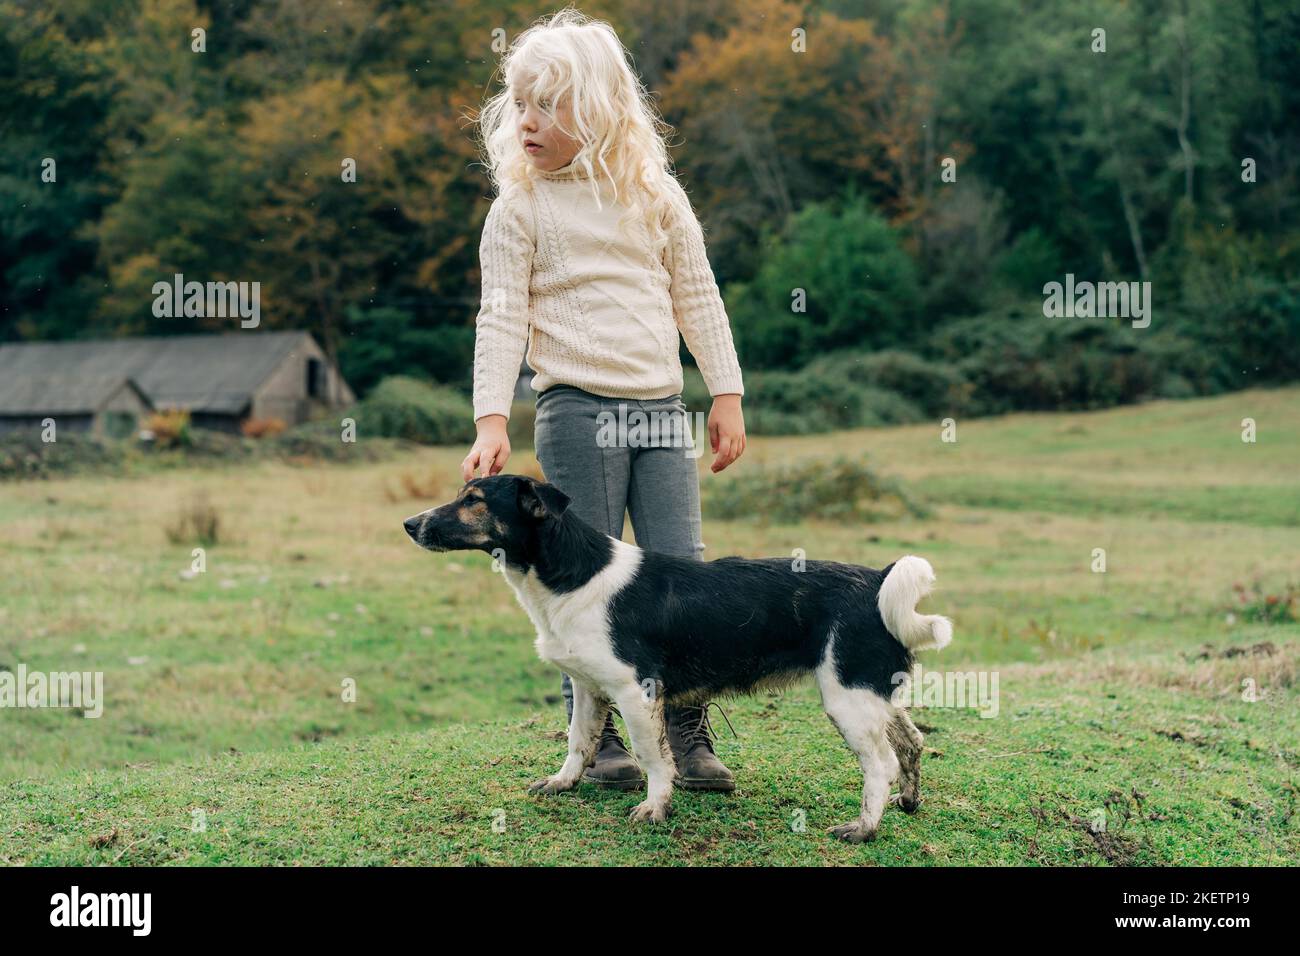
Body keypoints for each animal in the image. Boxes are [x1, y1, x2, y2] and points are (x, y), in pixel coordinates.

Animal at [405, 476, 956, 842]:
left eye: (474, 501)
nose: (410, 524)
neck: (571, 573)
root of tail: (877, 581)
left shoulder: (637, 691)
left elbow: (654, 757)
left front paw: (655, 809)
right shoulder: (587, 688)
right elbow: (578, 743)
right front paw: (563, 784)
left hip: (848, 699)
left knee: (881, 763)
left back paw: (864, 827)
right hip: (874, 694)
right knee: (911, 741)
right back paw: (909, 802)